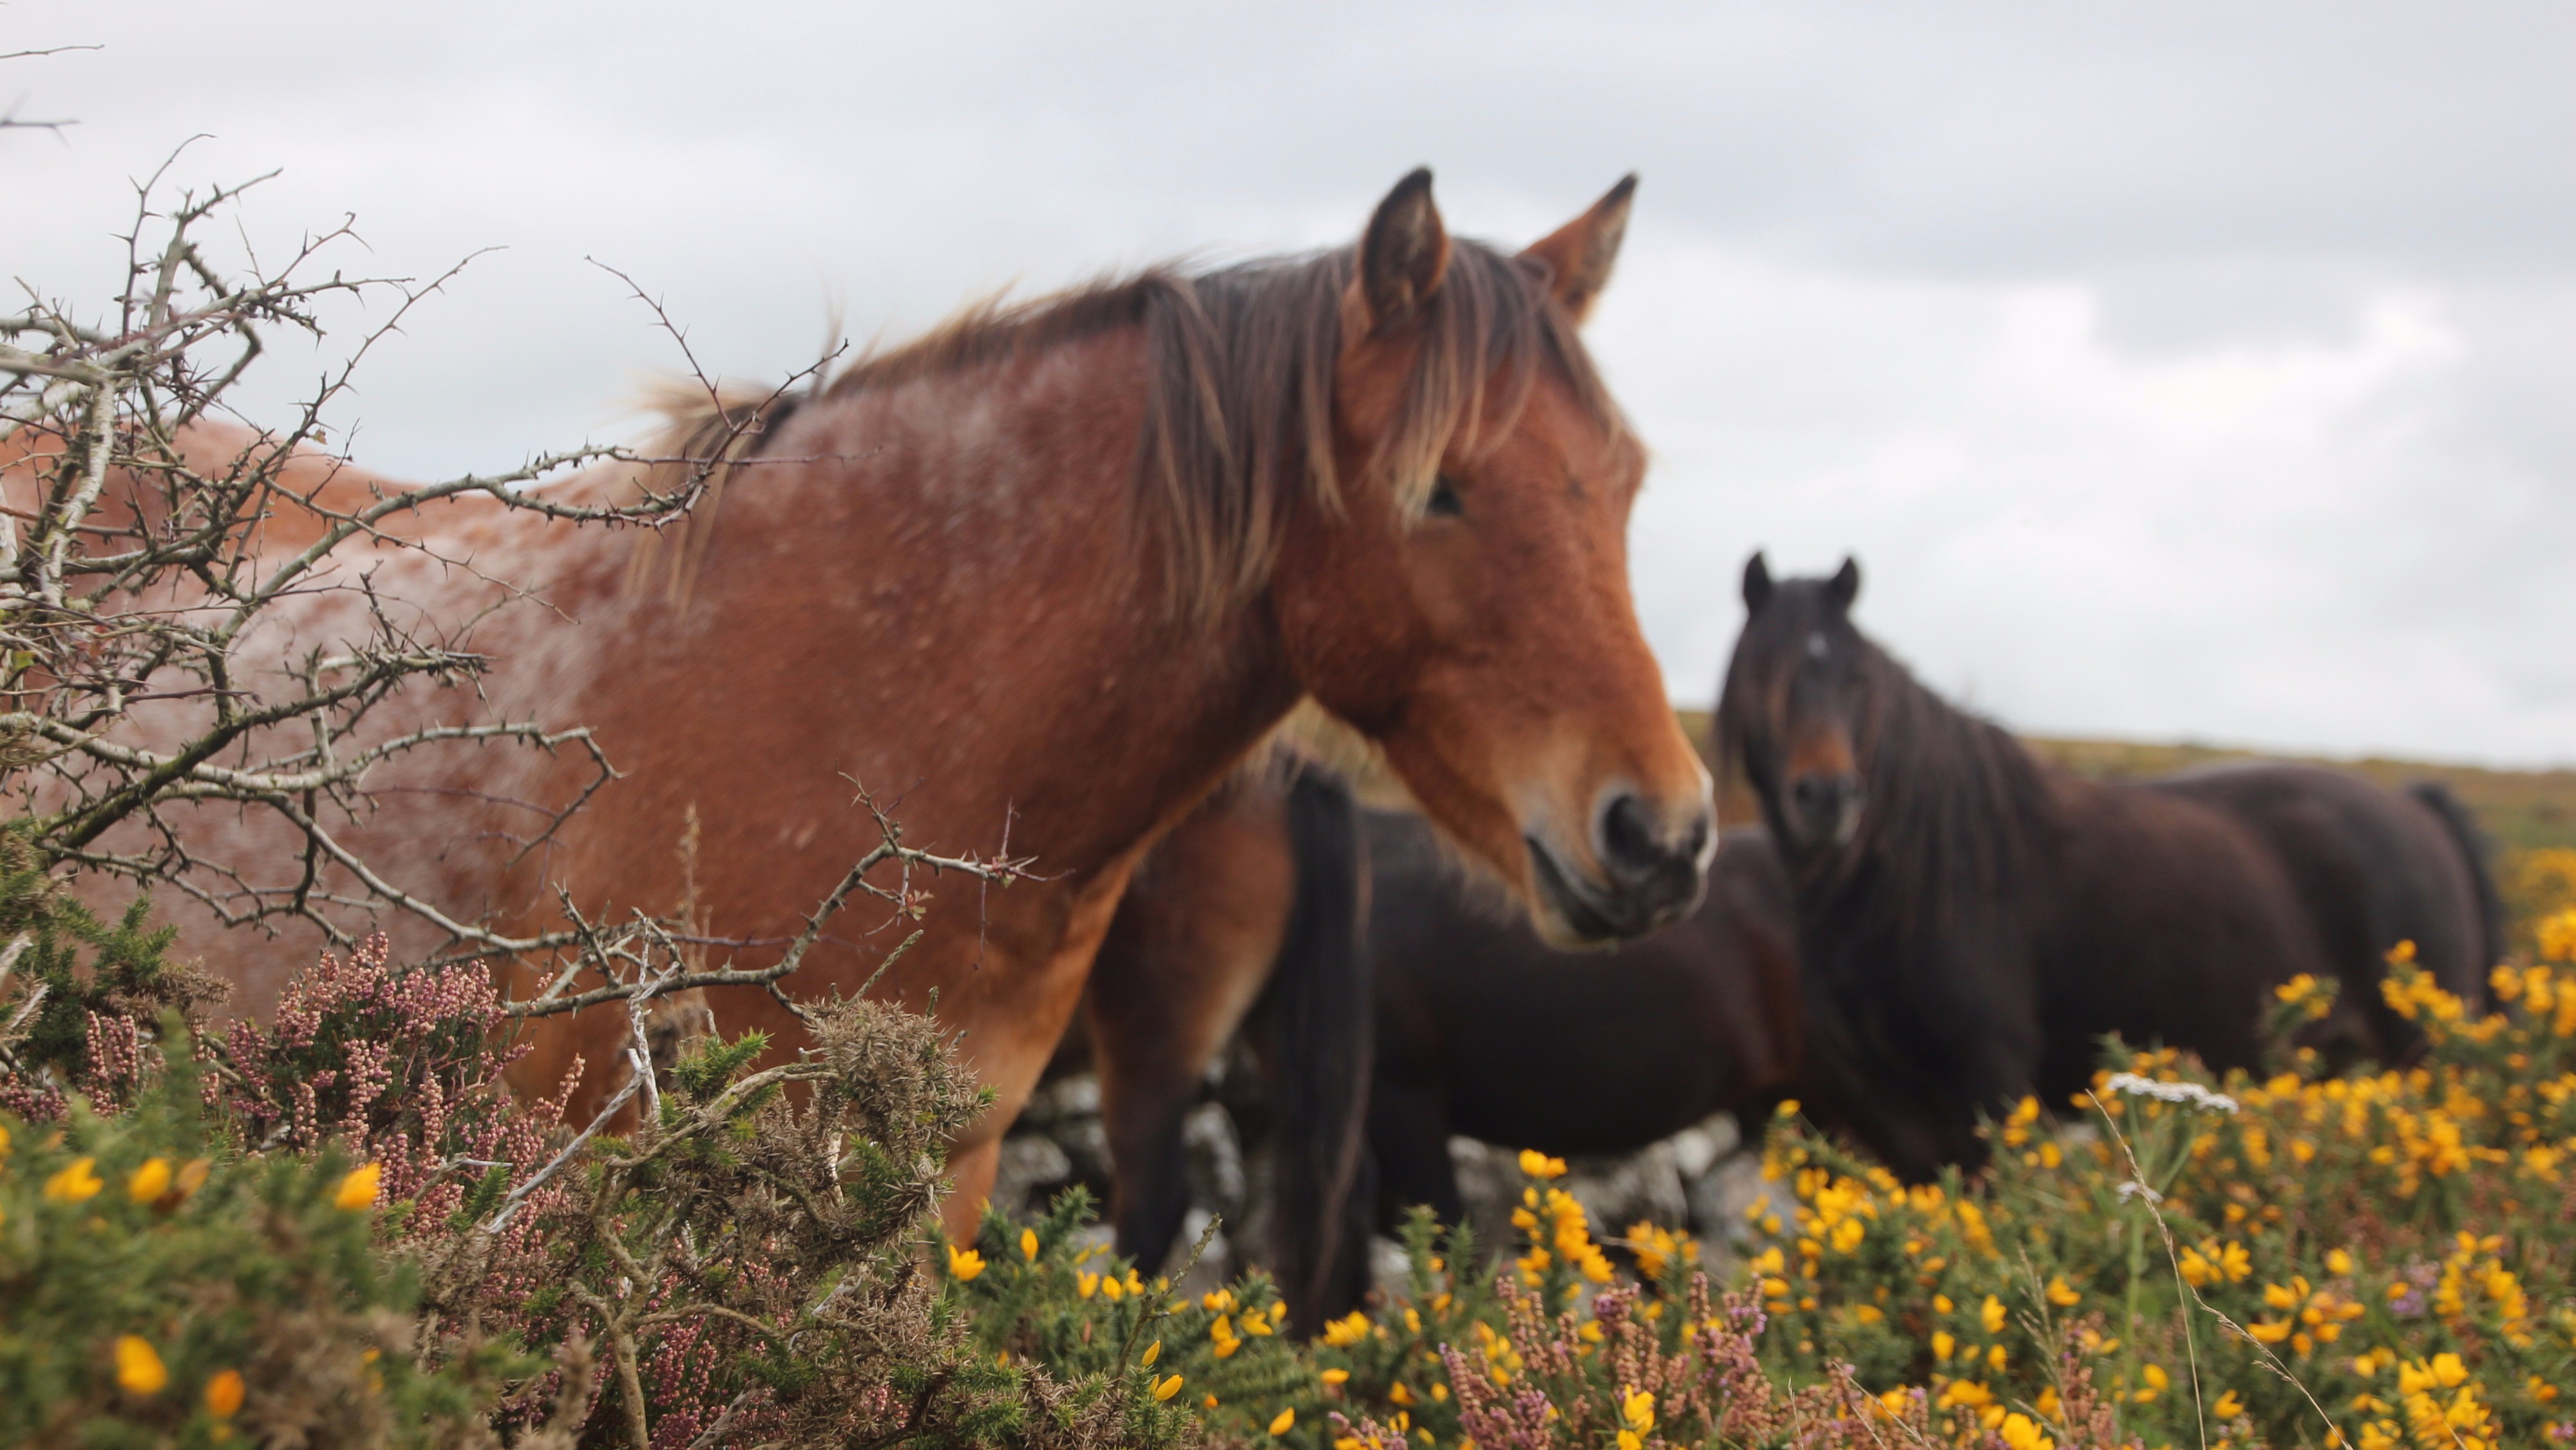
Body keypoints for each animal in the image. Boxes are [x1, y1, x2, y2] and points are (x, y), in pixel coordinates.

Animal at [1718, 554, 2502, 1180]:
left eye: (1857, 678)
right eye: (1760, 674)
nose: (1827, 797)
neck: (1907, 885)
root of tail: (2415, 804)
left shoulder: (1989, 1084)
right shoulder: (1895, 1118)